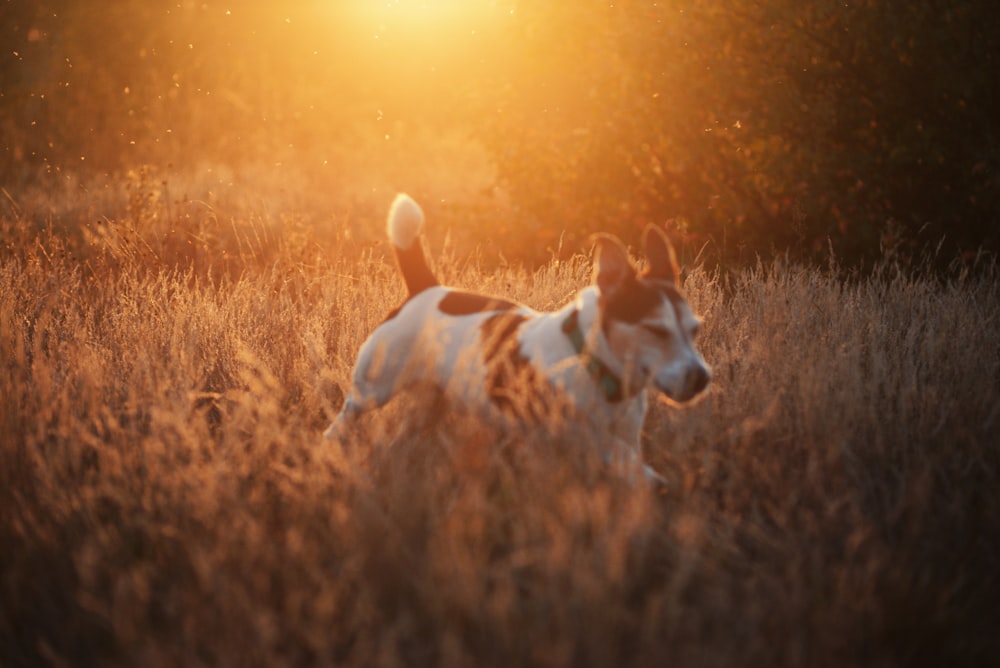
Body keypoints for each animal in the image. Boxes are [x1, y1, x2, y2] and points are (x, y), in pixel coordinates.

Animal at [322, 193, 712, 480]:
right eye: (655, 329)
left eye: (694, 329)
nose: (701, 378)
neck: (591, 362)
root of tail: (427, 288)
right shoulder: (584, 439)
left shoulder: (622, 440)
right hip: (373, 387)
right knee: (345, 418)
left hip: (433, 401)